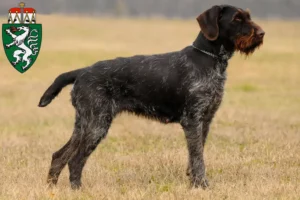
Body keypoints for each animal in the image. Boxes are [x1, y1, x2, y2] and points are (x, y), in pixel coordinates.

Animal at [38, 4, 264, 189]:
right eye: (237, 19)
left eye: (248, 16)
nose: (262, 33)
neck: (209, 59)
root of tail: (82, 71)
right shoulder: (192, 120)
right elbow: (198, 158)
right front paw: (202, 185)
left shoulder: (206, 119)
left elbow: (195, 155)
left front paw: (193, 183)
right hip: (97, 124)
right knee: (75, 160)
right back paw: (77, 190)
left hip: (84, 123)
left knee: (59, 156)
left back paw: (51, 189)